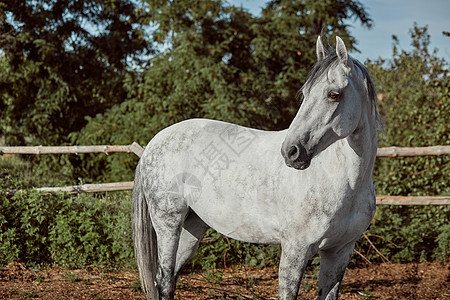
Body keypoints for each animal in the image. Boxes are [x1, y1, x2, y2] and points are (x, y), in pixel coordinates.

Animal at [132, 37, 382, 300]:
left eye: (334, 94)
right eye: (305, 94)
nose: (291, 151)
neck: (343, 182)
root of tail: (154, 142)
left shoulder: (339, 252)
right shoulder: (295, 250)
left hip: (193, 226)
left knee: (168, 279)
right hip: (168, 223)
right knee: (164, 280)